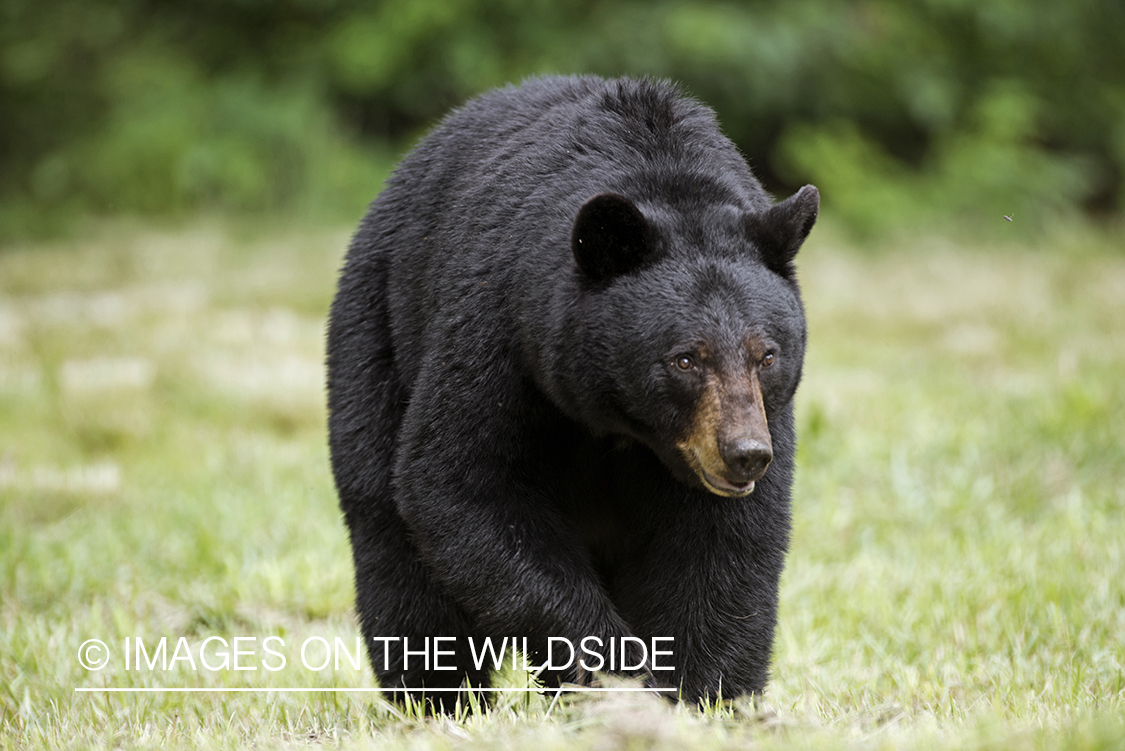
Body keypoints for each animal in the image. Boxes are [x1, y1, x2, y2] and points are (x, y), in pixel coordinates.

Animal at [326, 75, 818, 712]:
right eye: (685, 358)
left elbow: (724, 544)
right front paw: (618, 677)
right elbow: (463, 484)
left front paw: (705, 696)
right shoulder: (498, 330)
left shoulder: (759, 421)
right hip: (376, 332)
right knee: (393, 545)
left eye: (767, 355)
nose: (745, 455)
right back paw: (437, 700)